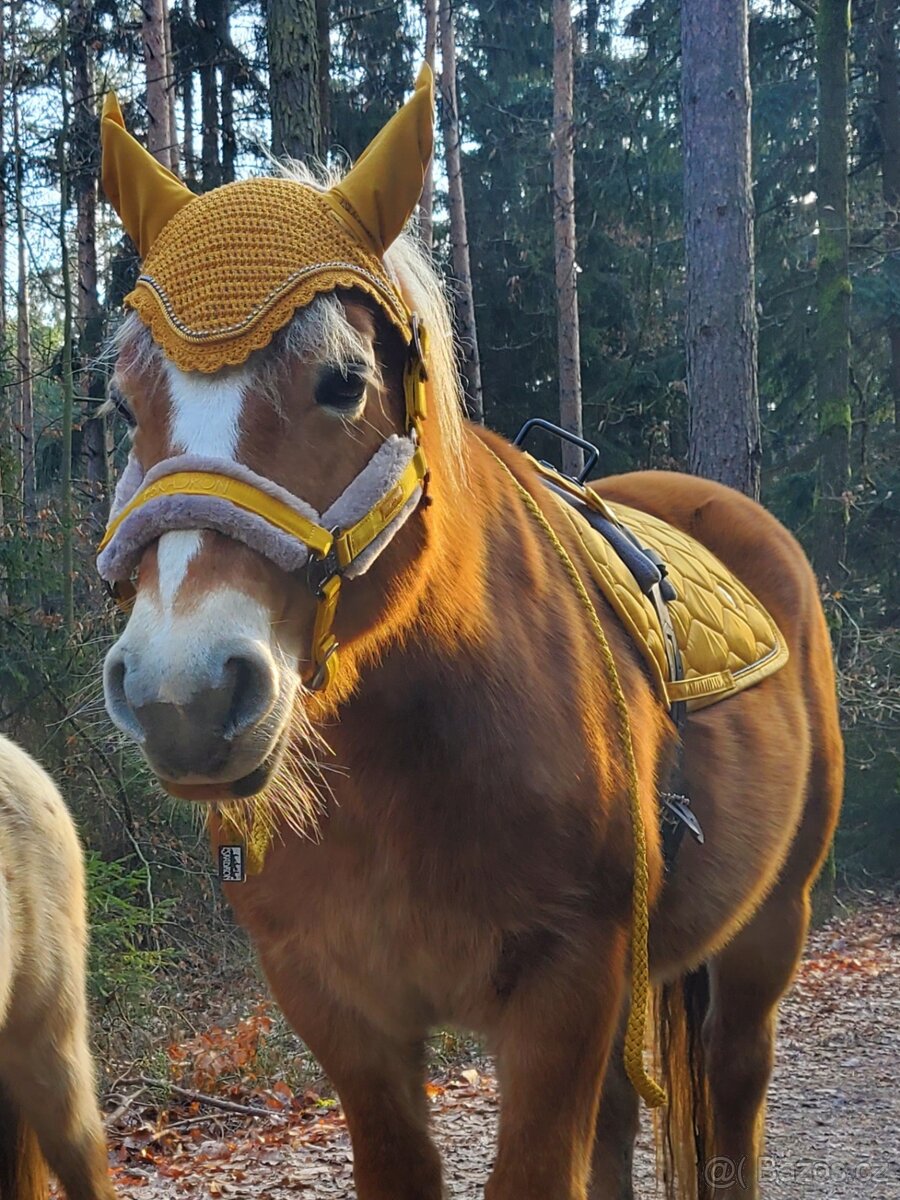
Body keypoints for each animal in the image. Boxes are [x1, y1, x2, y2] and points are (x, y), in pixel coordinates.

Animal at [98, 73, 843, 1200]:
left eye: (344, 381)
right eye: (121, 400)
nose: (183, 694)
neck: (404, 771)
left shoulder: (566, 991)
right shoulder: (339, 1010)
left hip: (769, 931)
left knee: (733, 1102)